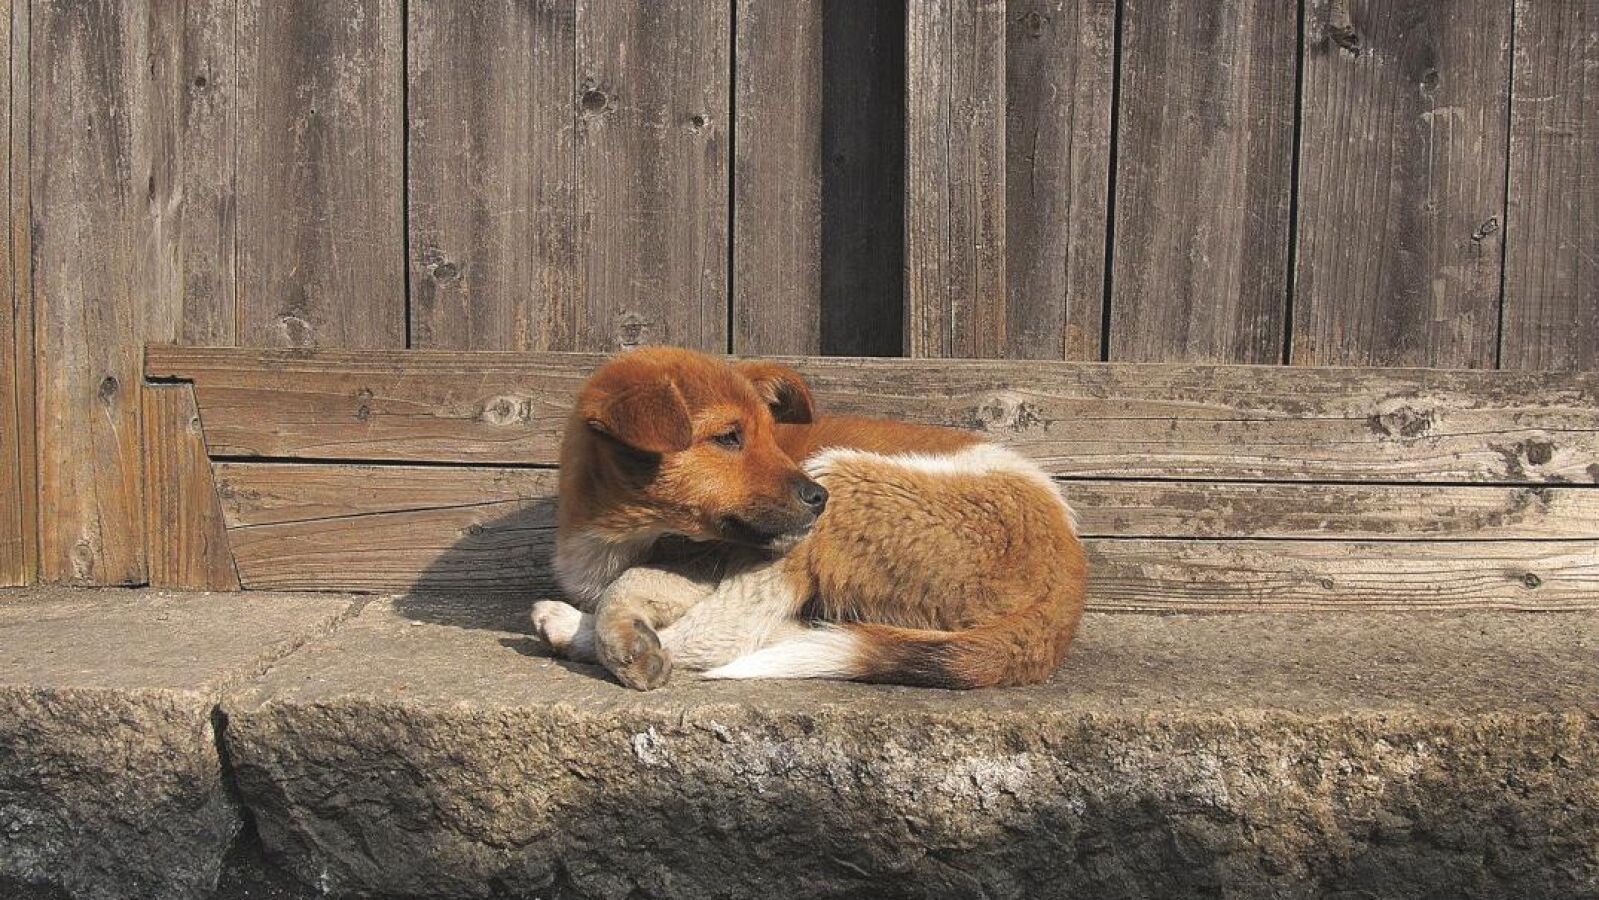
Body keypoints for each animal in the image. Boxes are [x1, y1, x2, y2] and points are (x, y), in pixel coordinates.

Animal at [530, 347, 1086, 690]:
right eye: (729, 437)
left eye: (771, 436)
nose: (817, 498)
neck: (617, 532)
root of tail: (1068, 592)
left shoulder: (716, 559)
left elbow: (630, 584)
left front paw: (616, 636)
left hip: (838, 483)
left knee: (728, 634)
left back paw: (568, 625)